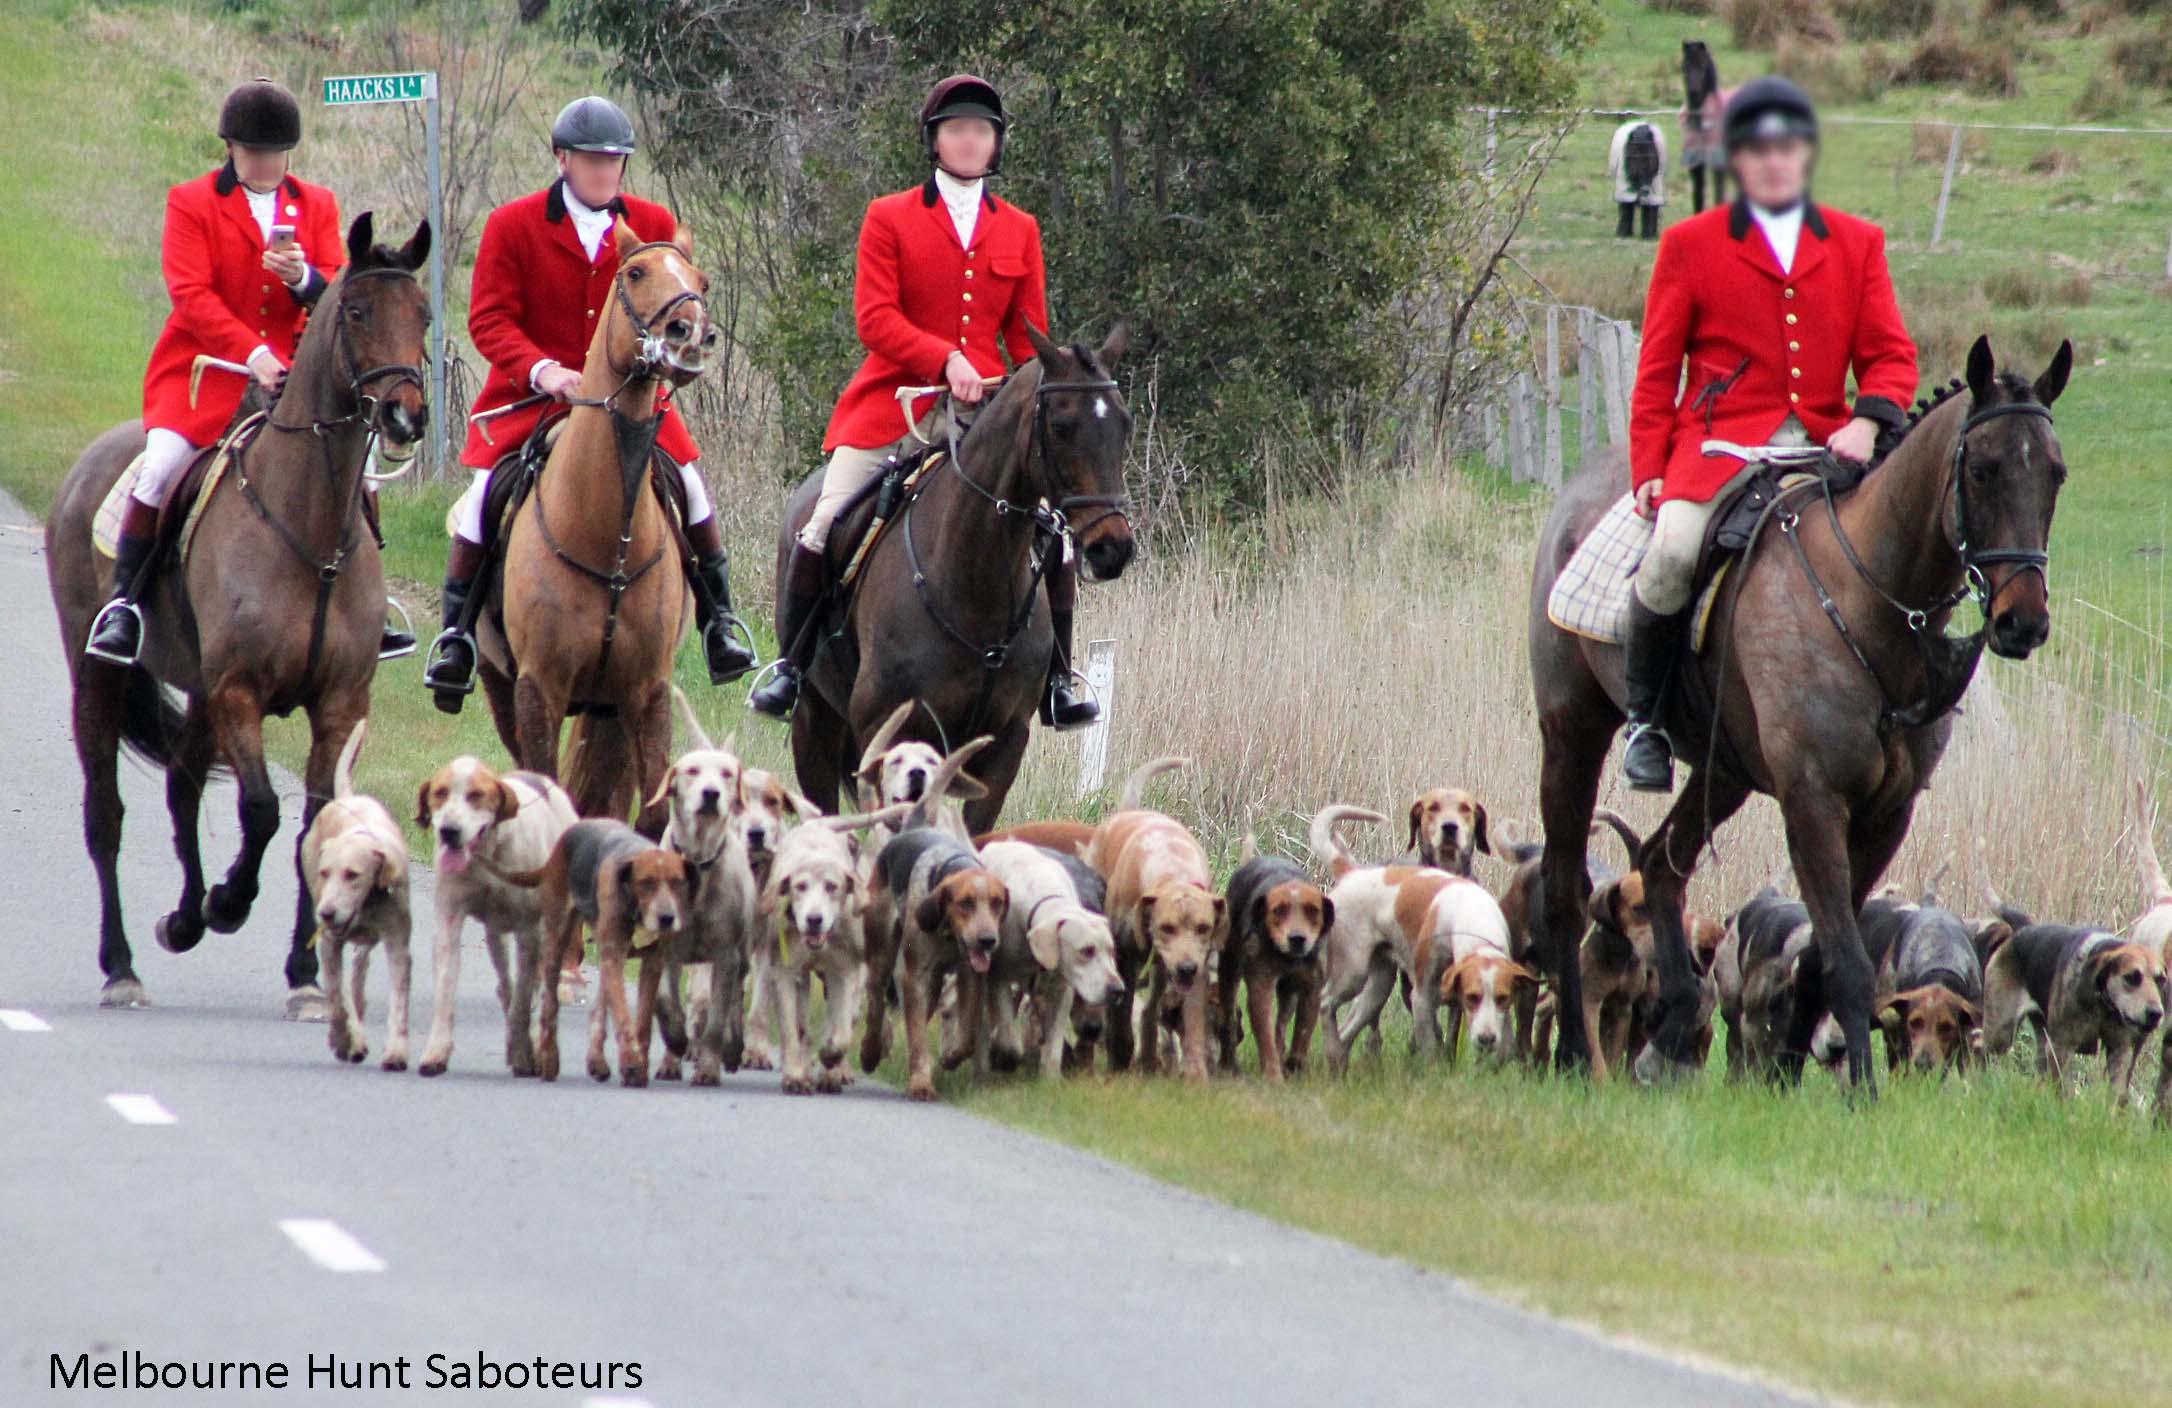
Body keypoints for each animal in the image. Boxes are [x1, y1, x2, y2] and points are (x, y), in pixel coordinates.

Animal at [45, 217, 432, 1012]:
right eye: (357, 312)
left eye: (425, 315)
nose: (406, 415)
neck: (308, 527)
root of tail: (92, 458)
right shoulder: (240, 692)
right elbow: (262, 810)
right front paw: (228, 903)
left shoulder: (339, 703)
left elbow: (317, 826)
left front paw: (305, 976)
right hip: (98, 674)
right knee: (106, 815)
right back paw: (124, 963)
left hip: (196, 688)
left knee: (182, 784)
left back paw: (182, 920)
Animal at [471, 225, 716, 830]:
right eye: (635, 273)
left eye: (700, 281)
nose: (691, 335)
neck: (609, 537)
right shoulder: (538, 691)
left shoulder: (646, 692)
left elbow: (651, 816)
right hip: (500, 686)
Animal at [777, 323, 1138, 830]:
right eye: (1061, 426)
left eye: (1124, 423)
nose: (1113, 548)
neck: (972, 586)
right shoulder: (886, 737)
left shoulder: (1005, 745)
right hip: (813, 722)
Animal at [1529, 338, 2067, 1090]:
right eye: (1983, 470)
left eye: (2055, 475)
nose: (2023, 623)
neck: (1868, 602)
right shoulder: (1812, 799)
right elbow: (1844, 956)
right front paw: (1862, 1089)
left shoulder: (1885, 815)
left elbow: (1820, 954)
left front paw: (1786, 1076)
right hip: (1572, 733)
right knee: (1563, 889)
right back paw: (1577, 1053)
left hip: (1723, 771)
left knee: (1664, 864)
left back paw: (1671, 1030)